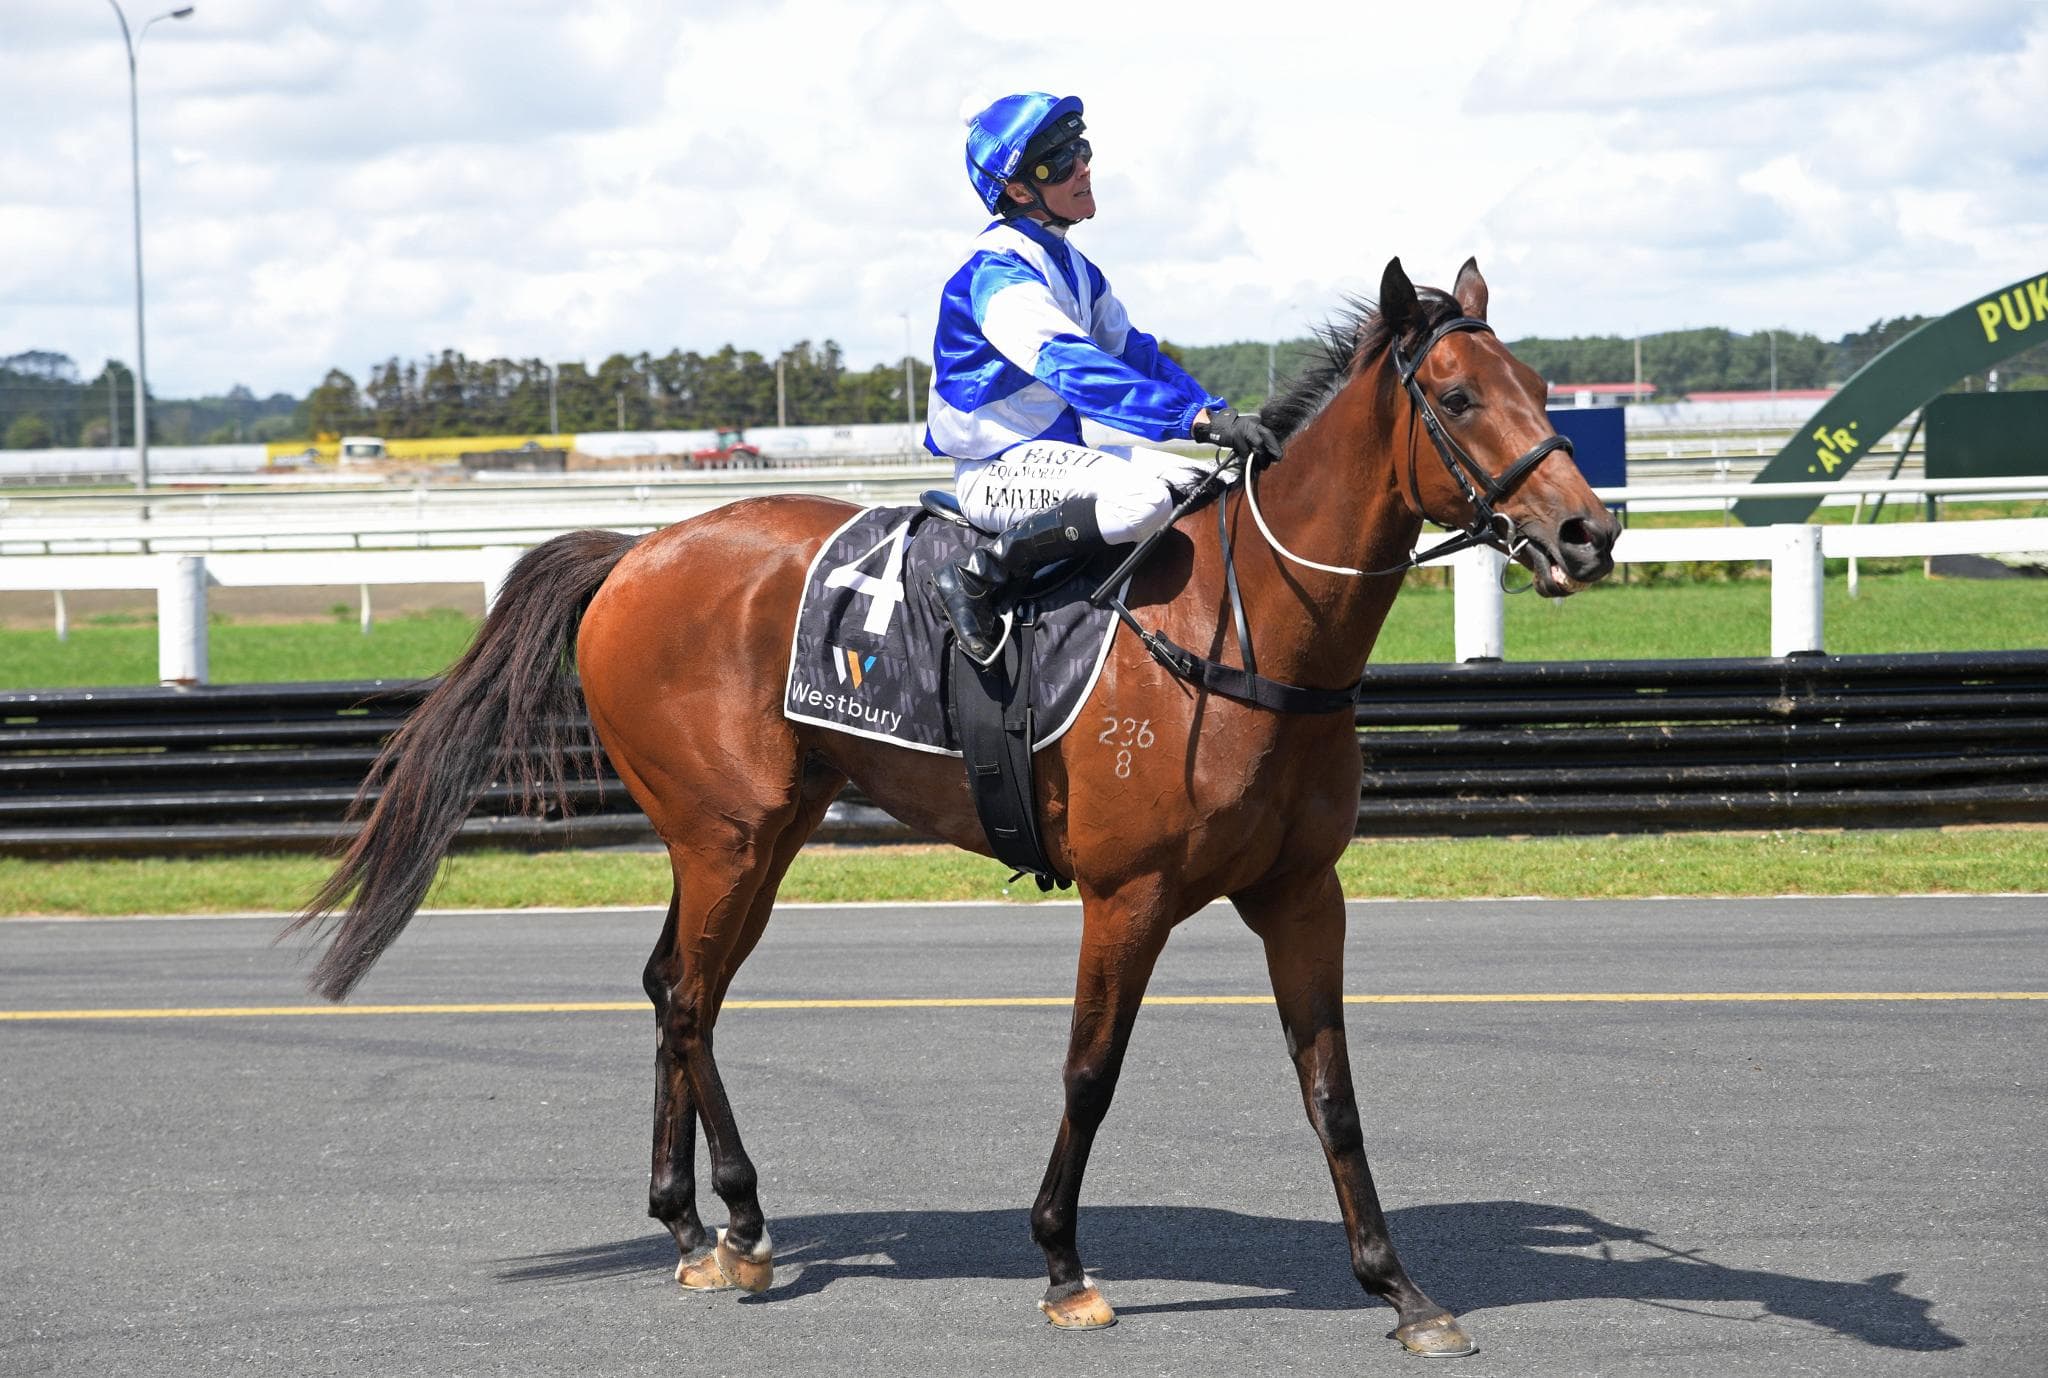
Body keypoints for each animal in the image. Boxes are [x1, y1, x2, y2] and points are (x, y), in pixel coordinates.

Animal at [288, 256, 1620, 1357]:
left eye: (1535, 382)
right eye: (1455, 395)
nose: (1586, 529)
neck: (1241, 631)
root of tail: (634, 552)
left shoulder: (1301, 890)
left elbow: (1331, 1091)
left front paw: (1400, 1289)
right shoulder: (1126, 894)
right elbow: (1089, 1070)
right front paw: (1062, 1262)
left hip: (753, 835)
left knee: (676, 989)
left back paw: (698, 1226)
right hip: (729, 835)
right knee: (688, 998)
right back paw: (733, 1222)